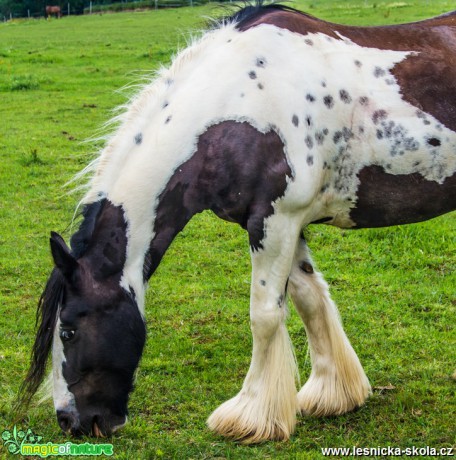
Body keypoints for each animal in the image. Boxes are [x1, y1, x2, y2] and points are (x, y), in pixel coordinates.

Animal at [19, 1, 454, 444]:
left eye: (68, 331)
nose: (70, 422)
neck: (237, 104)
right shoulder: (282, 225)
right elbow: (310, 298)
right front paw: (334, 394)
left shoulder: (275, 221)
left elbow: (264, 316)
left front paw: (251, 416)